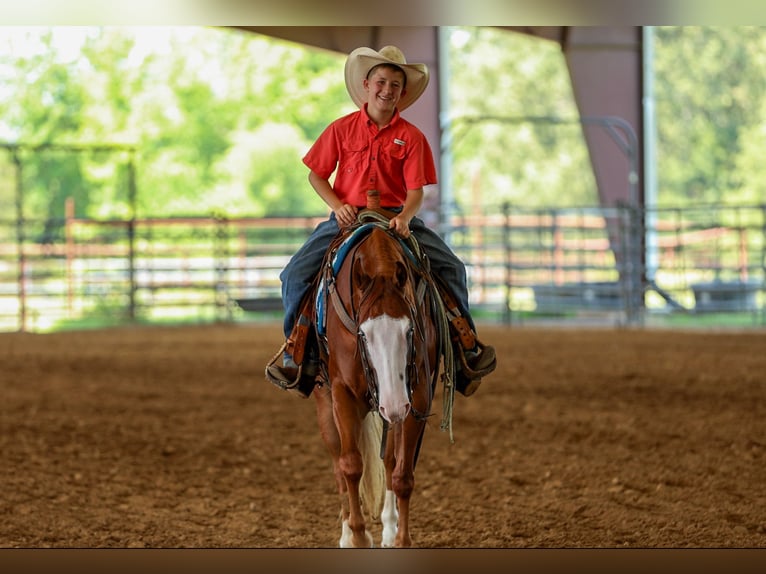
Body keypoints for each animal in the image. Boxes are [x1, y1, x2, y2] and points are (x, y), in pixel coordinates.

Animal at [312, 212, 447, 548]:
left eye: (410, 330)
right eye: (363, 333)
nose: (395, 405)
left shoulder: (417, 395)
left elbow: (402, 474)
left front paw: (400, 539)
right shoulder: (342, 392)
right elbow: (351, 465)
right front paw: (359, 536)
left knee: (388, 461)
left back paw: (387, 526)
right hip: (327, 401)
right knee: (338, 465)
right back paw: (346, 533)